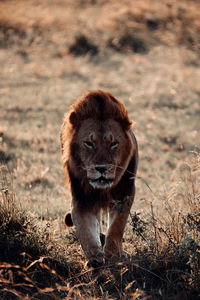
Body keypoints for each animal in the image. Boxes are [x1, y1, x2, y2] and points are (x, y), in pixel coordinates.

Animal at [60, 89, 138, 268]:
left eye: (113, 143)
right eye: (89, 143)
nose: (101, 168)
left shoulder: (124, 193)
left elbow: (117, 227)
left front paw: (113, 254)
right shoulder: (81, 199)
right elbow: (86, 229)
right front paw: (95, 257)